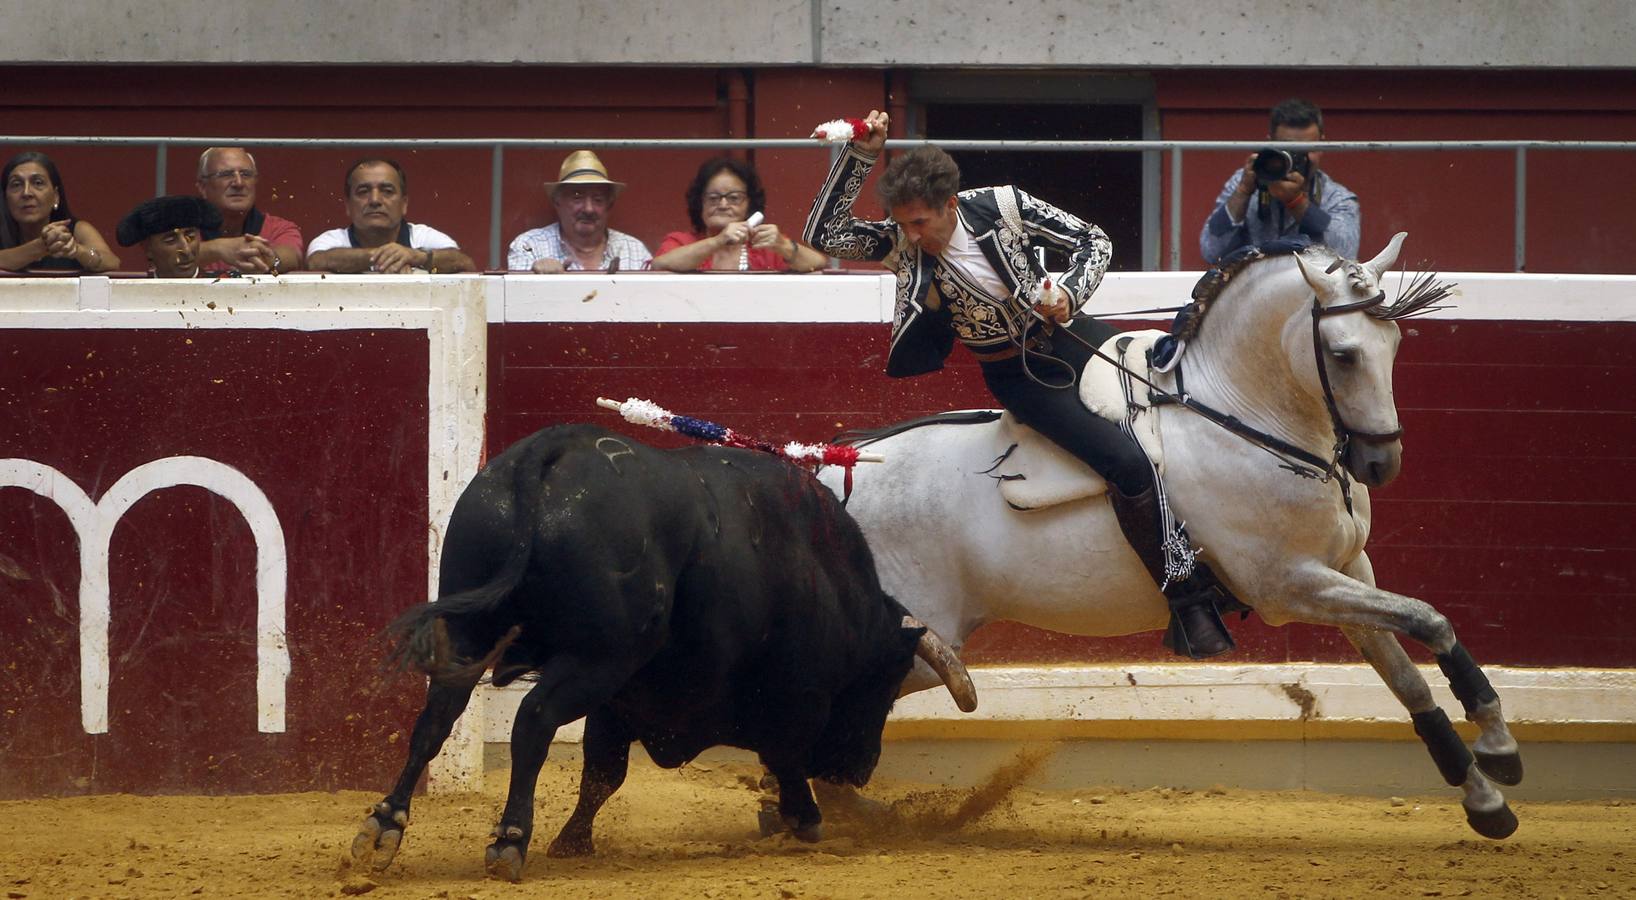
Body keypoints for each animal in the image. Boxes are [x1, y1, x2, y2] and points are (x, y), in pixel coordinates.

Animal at [353, 425, 975, 883]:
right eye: (886, 687)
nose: (861, 768)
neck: (833, 586)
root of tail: (551, 451)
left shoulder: (620, 704)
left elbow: (603, 773)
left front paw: (573, 842)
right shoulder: (789, 703)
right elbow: (786, 760)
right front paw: (806, 821)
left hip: (473, 634)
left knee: (437, 718)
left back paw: (383, 827)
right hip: (596, 659)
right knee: (533, 719)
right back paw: (509, 839)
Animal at [824, 235, 1524, 844]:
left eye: (1395, 340)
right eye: (1346, 353)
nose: (1381, 463)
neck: (1241, 416)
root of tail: (835, 470)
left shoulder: (1348, 568)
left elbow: (1409, 675)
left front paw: (1487, 795)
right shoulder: (1288, 585)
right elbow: (1429, 618)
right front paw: (1500, 747)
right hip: (920, 642)